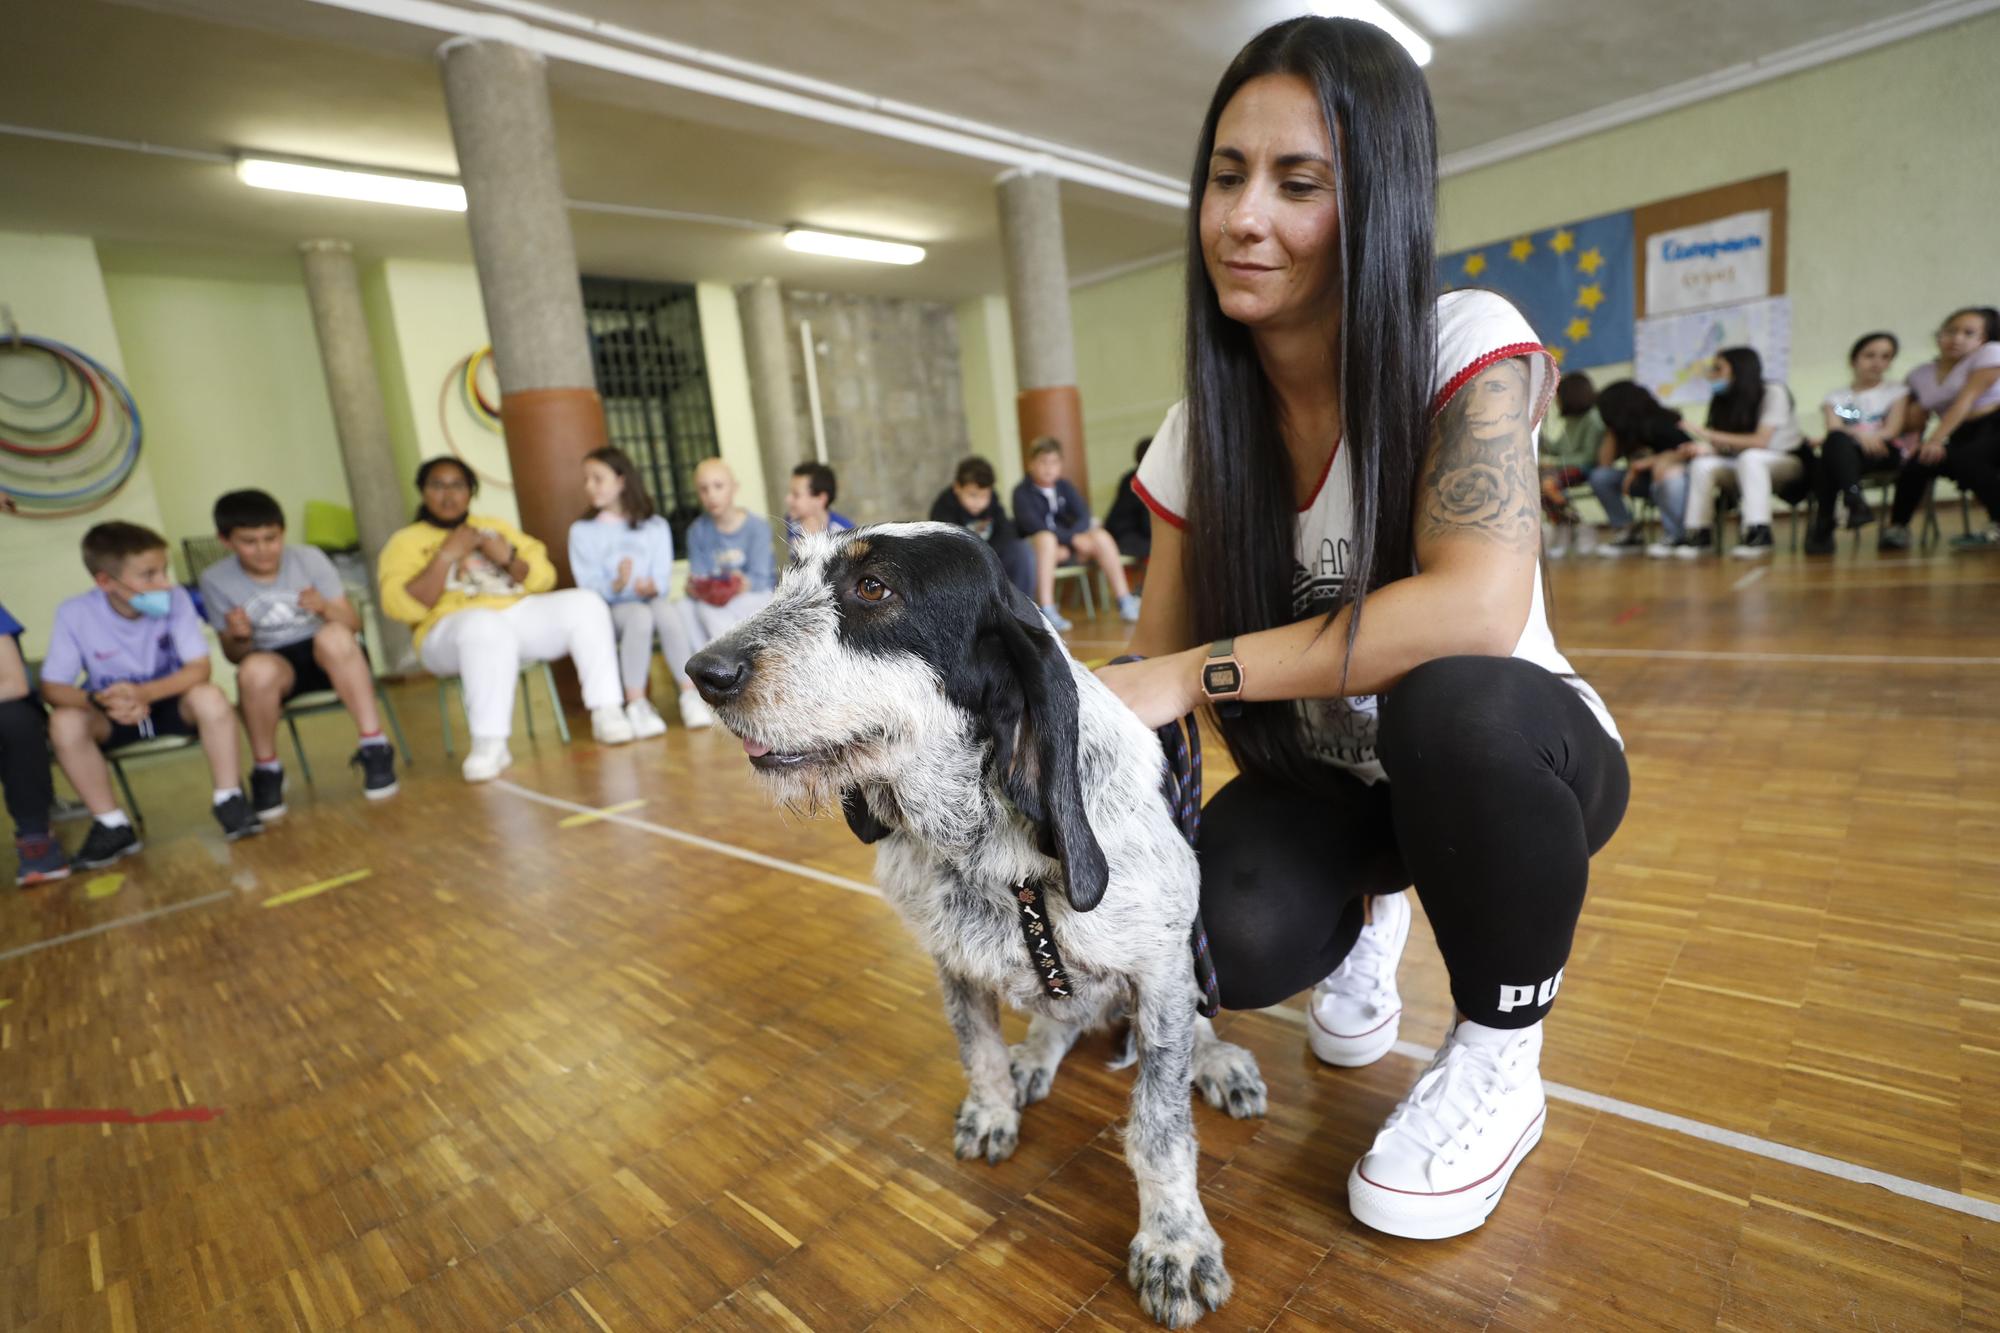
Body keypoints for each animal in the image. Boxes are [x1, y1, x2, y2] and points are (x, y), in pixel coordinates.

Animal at [688, 524, 1264, 1320]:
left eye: (874, 588)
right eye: (790, 574)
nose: (702, 671)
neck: (982, 841)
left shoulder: (1161, 972)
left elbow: (1159, 1126)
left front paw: (1173, 1242)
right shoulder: (953, 962)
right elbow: (979, 1052)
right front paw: (994, 1110)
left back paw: (1218, 1062)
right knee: (1055, 1020)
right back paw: (1035, 1058)